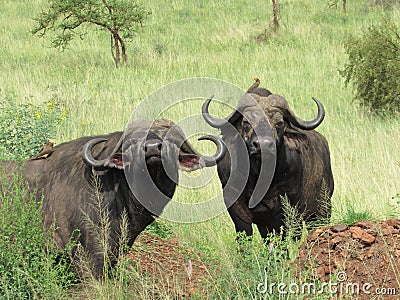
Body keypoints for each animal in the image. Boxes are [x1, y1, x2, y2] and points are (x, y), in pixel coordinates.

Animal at [202, 87, 332, 239]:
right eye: (246, 122)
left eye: (279, 123)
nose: (263, 144)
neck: (259, 176)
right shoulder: (234, 202)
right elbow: (245, 233)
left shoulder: (288, 206)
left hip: (322, 209)